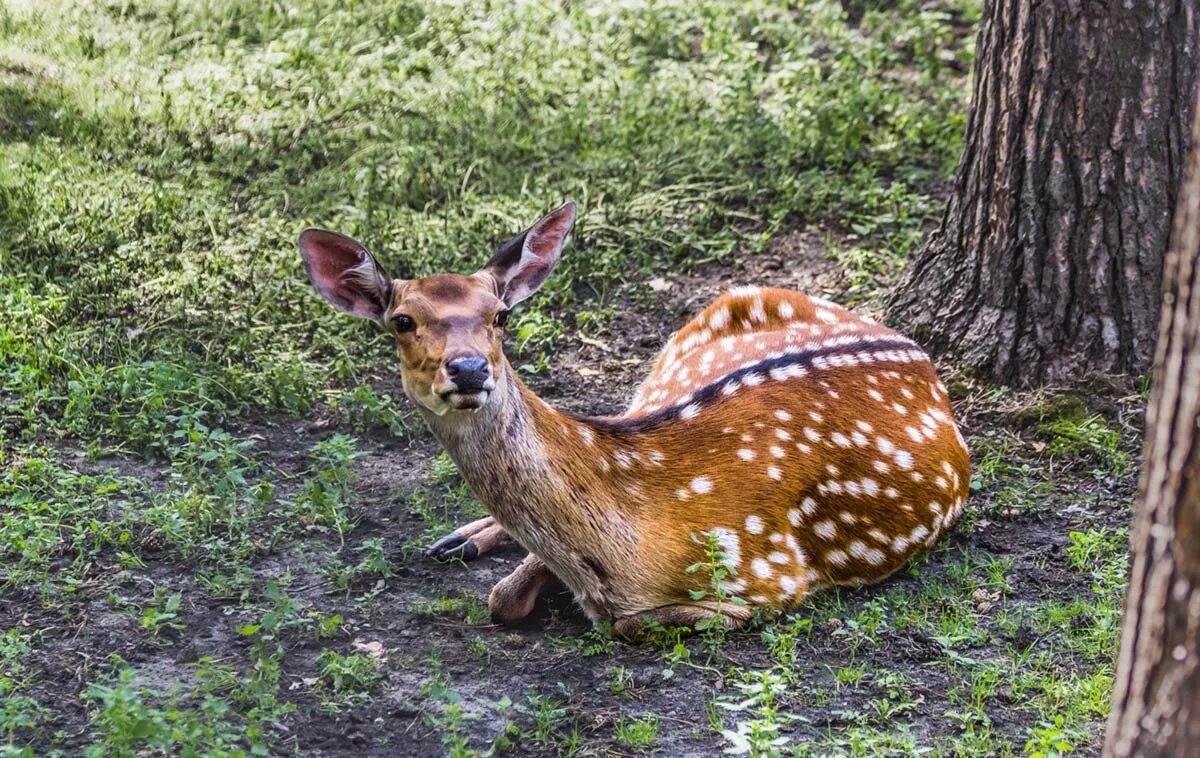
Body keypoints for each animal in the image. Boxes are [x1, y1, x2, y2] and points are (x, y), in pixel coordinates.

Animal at [300, 201, 974, 633]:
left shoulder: (771, 578)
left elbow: (620, 623)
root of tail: (914, 349)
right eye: (401, 320)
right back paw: (460, 537)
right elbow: (502, 597)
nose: (467, 369)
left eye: (500, 315)